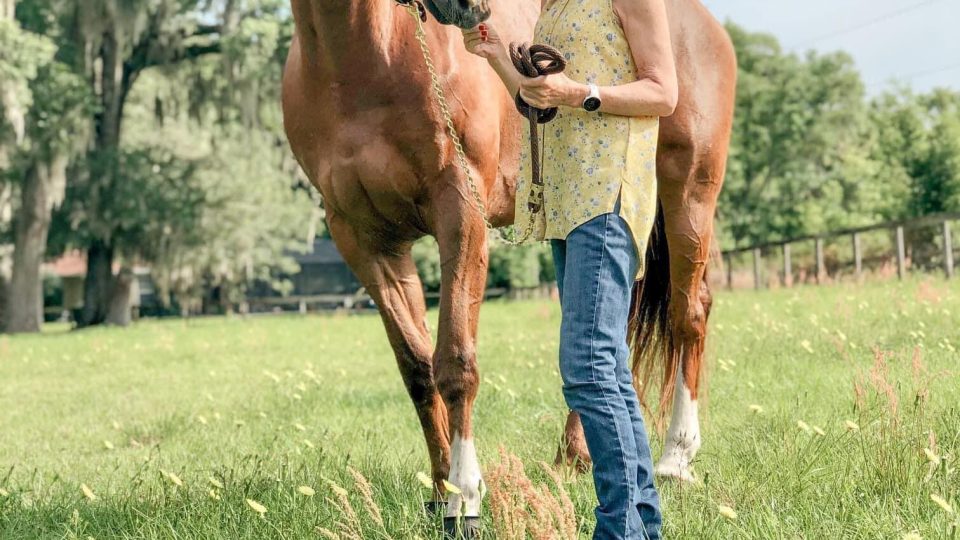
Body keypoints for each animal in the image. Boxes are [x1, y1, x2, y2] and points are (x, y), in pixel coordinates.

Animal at [281, 0, 736, 533]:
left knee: (689, 314)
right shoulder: (363, 241)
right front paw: (439, 492)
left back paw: (674, 459)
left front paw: (464, 499)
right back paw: (573, 458)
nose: (470, 9)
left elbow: (455, 362)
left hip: (689, 191)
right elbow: (417, 368)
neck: (363, 58)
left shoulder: (461, 211)